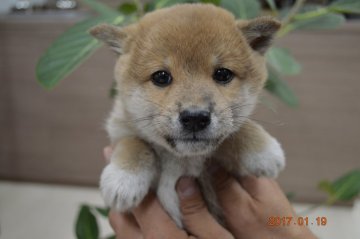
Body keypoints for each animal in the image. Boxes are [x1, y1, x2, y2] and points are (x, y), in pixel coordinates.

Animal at [90, 2, 284, 227]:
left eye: (223, 74)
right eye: (161, 76)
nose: (195, 118)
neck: (183, 161)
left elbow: (237, 128)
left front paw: (263, 151)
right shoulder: (119, 128)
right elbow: (133, 142)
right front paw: (124, 179)